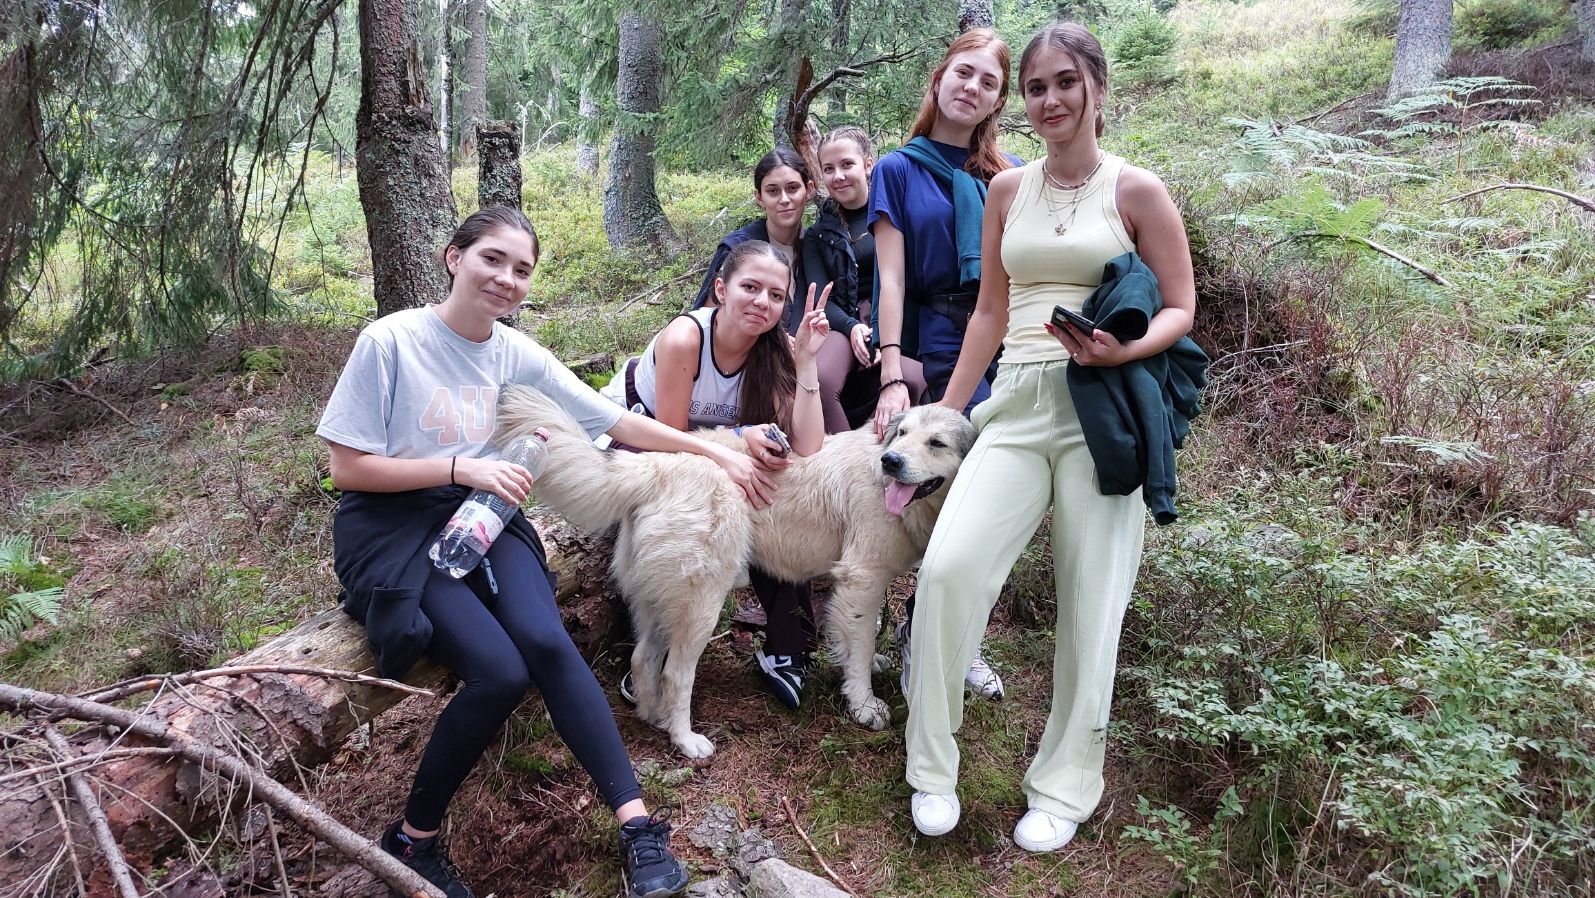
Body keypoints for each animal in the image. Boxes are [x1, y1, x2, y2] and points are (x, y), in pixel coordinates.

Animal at [496, 385, 977, 759]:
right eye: (903, 435)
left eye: (936, 443)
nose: (891, 461)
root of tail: (657, 465)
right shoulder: (861, 577)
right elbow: (859, 644)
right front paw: (864, 704)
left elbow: (856, 638)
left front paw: (869, 664)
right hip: (702, 602)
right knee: (675, 674)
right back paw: (685, 740)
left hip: (659, 598)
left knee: (642, 657)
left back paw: (653, 716)